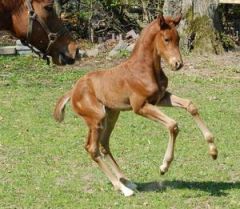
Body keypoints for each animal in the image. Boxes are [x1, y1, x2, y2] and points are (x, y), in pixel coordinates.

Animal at [53, 15, 218, 196]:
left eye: (178, 39)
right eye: (166, 39)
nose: (178, 64)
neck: (144, 69)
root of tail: (72, 91)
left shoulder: (161, 98)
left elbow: (190, 105)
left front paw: (213, 151)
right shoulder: (140, 107)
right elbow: (172, 125)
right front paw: (164, 166)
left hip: (111, 115)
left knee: (103, 144)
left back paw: (128, 181)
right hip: (97, 118)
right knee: (92, 149)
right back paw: (123, 188)